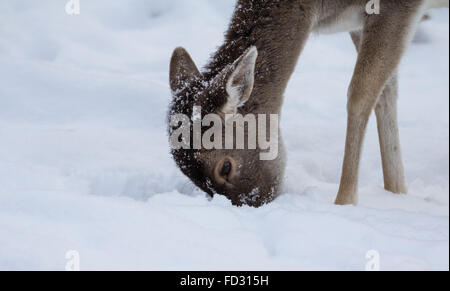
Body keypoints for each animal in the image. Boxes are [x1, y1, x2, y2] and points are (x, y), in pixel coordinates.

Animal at [167, 0, 448, 208]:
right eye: (193, 180)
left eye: (225, 166)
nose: (253, 207)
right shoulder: (359, 21)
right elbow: (386, 95)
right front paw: (398, 192)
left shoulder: (400, 7)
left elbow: (359, 94)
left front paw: (344, 202)